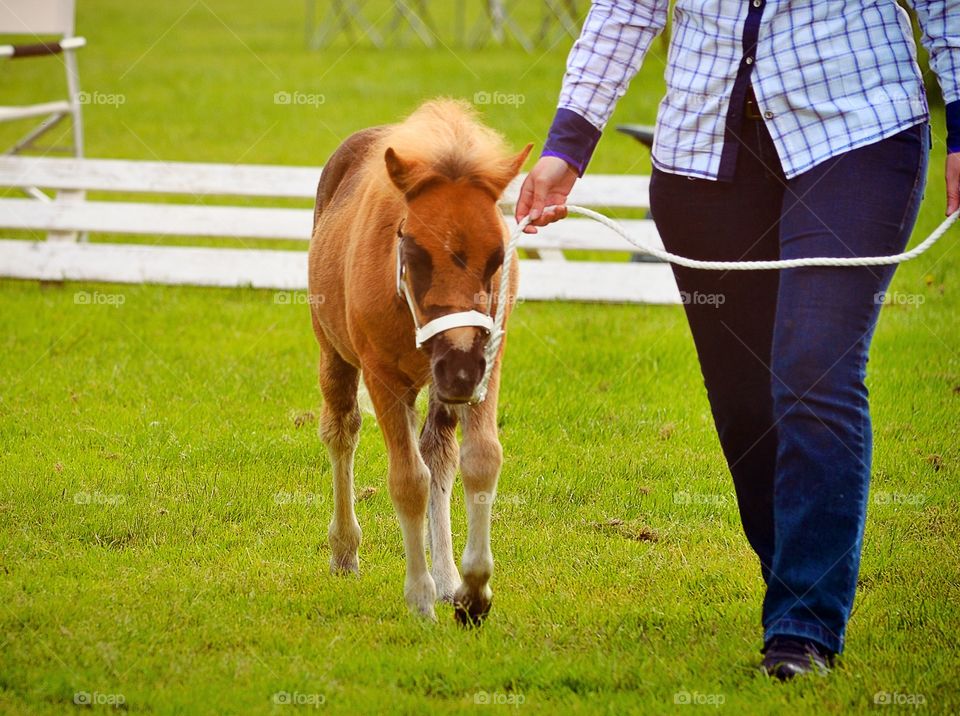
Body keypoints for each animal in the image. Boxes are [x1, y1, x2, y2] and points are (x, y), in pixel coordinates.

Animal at [307, 99, 531, 623]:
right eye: (411, 249)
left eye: (498, 256)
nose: (460, 366)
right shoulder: (383, 375)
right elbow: (408, 480)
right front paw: (420, 600)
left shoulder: (487, 365)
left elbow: (481, 459)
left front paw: (473, 590)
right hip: (335, 355)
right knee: (342, 431)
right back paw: (345, 551)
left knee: (438, 451)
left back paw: (448, 577)